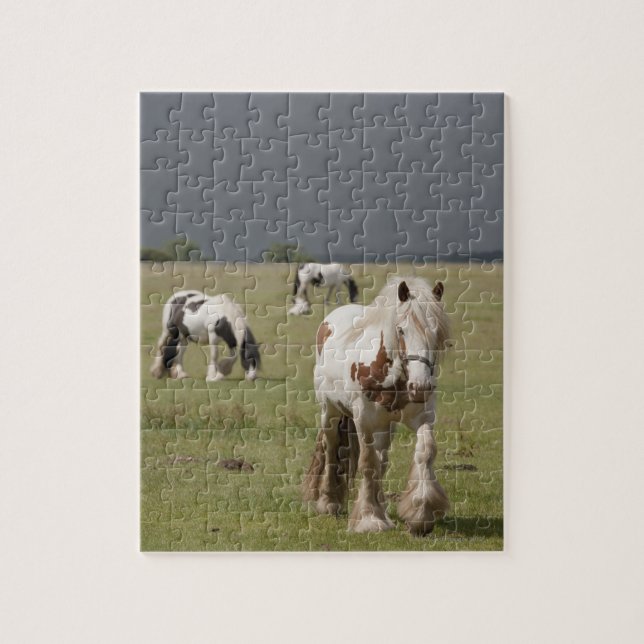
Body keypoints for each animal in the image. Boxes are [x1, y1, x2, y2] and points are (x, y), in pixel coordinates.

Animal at [303, 276, 450, 535]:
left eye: (436, 332)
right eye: (401, 330)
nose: (421, 387)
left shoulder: (422, 416)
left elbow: (425, 452)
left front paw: (420, 512)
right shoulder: (364, 421)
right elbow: (368, 463)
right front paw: (369, 519)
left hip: (385, 426)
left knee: (382, 459)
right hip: (329, 411)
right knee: (331, 448)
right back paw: (329, 501)